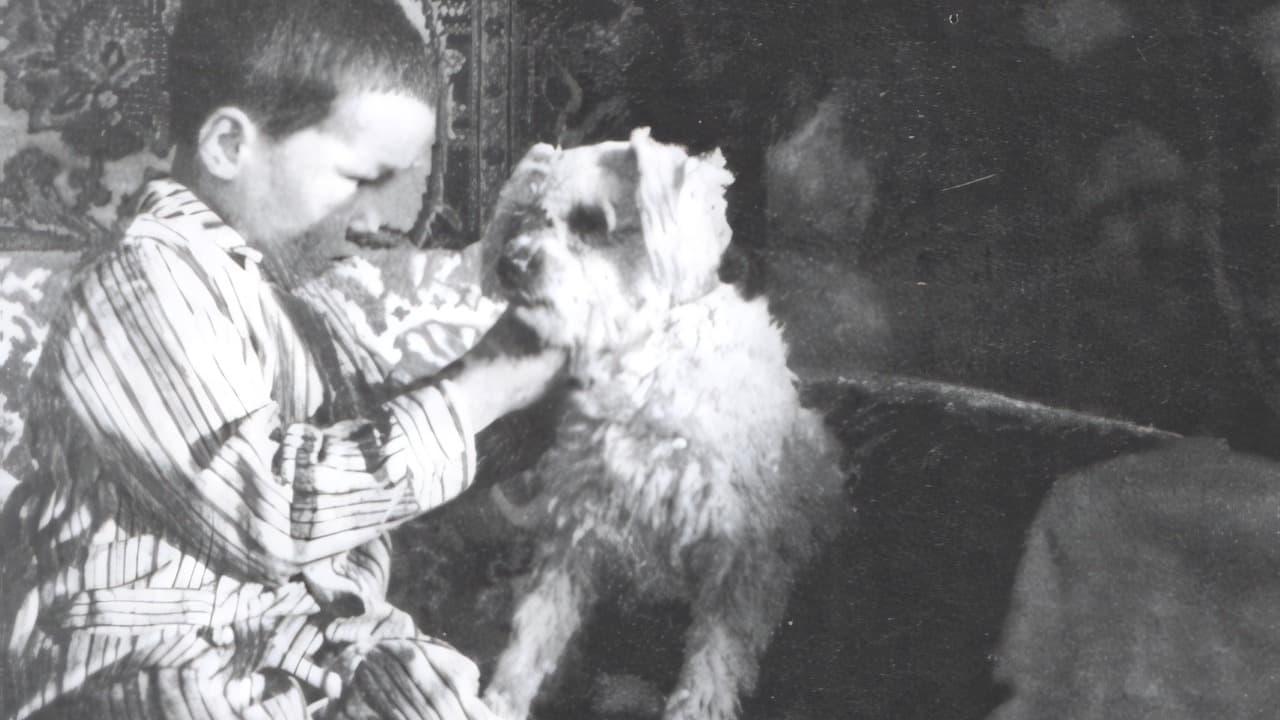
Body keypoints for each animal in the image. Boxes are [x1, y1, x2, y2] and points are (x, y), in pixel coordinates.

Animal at [476, 128, 844, 717]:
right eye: (523, 218)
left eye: (591, 223)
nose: (509, 265)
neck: (642, 364)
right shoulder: (576, 533)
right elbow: (535, 634)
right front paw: (497, 700)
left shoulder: (737, 560)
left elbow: (713, 665)